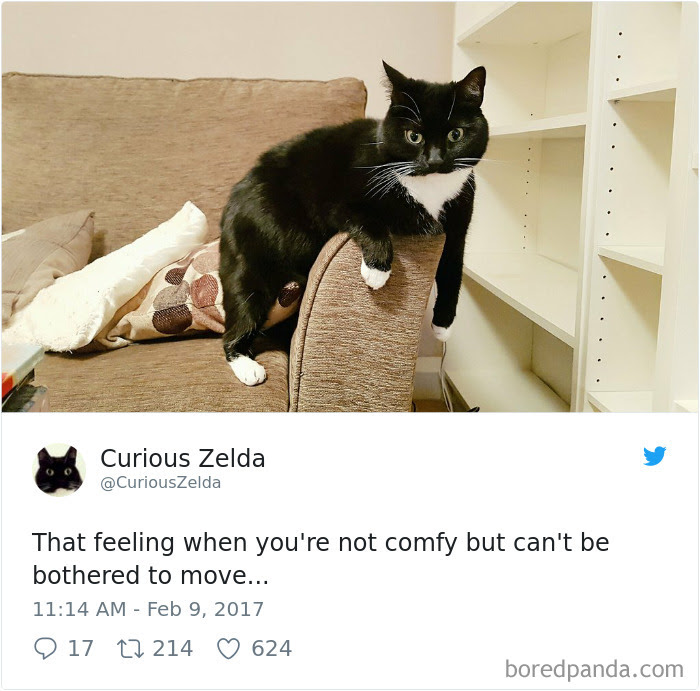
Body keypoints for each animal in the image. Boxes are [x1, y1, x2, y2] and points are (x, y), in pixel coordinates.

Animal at [220, 61, 488, 386]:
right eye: (414, 136)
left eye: (455, 134)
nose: (435, 161)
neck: (431, 190)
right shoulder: (339, 201)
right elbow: (369, 221)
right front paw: (377, 270)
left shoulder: (457, 227)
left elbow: (452, 272)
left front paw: (444, 325)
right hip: (250, 263)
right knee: (238, 316)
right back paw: (247, 365)